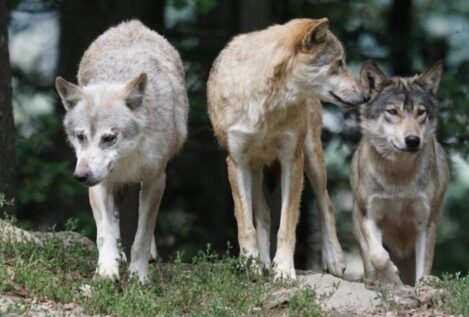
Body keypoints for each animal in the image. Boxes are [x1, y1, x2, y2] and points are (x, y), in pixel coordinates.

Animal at [54, 19, 186, 282]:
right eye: (81, 137)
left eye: (109, 138)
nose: (80, 176)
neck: (127, 159)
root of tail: (132, 23)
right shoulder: (100, 184)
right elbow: (104, 232)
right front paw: (106, 270)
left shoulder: (156, 179)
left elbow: (143, 234)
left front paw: (139, 276)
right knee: (114, 220)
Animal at [207, 18, 368, 278]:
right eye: (339, 63)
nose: (366, 96)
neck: (265, 103)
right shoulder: (237, 162)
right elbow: (246, 225)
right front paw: (250, 264)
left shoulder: (292, 159)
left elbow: (287, 225)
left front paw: (283, 269)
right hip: (255, 169)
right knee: (263, 214)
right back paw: (262, 262)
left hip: (312, 157)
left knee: (326, 203)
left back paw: (333, 258)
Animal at [350, 60, 448, 286]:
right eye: (393, 111)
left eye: (420, 112)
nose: (413, 140)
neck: (398, 177)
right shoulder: (369, 217)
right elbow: (378, 256)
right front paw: (392, 277)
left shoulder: (425, 223)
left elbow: (424, 267)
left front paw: (422, 284)